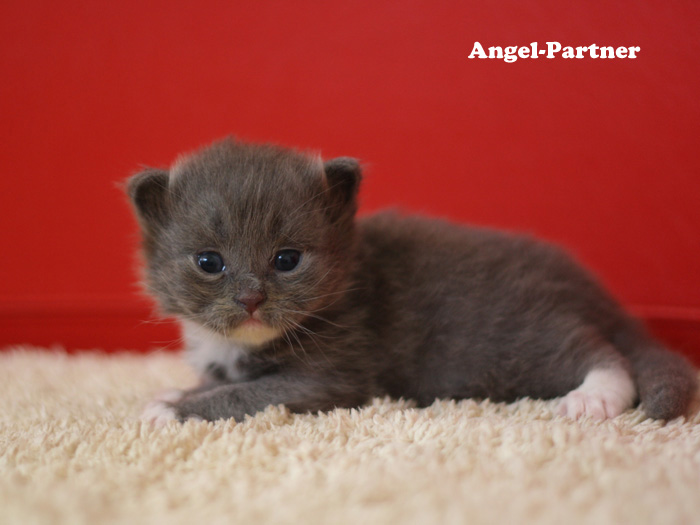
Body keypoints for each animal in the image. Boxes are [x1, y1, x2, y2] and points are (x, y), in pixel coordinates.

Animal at [129, 138, 696, 422]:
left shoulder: (333, 375)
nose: (251, 299)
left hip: (518, 340)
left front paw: (168, 409)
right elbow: (220, 380)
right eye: (209, 262)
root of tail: (589, 287)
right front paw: (178, 391)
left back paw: (593, 397)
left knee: (600, 353)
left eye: (287, 259)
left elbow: (248, 395)